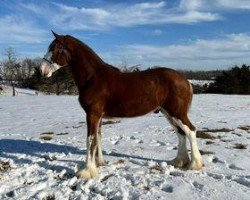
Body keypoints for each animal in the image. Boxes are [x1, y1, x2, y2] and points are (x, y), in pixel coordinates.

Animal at [39, 32, 203, 179]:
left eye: (55, 49)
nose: (42, 70)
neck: (93, 77)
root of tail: (186, 80)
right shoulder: (98, 116)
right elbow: (98, 137)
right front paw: (99, 163)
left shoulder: (92, 114)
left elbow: (90, 139)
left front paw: (86, 171)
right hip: (168, 113)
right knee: (181, 133)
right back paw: (179, 161)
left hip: (177, 113)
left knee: (190, 131)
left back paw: (195, 164)